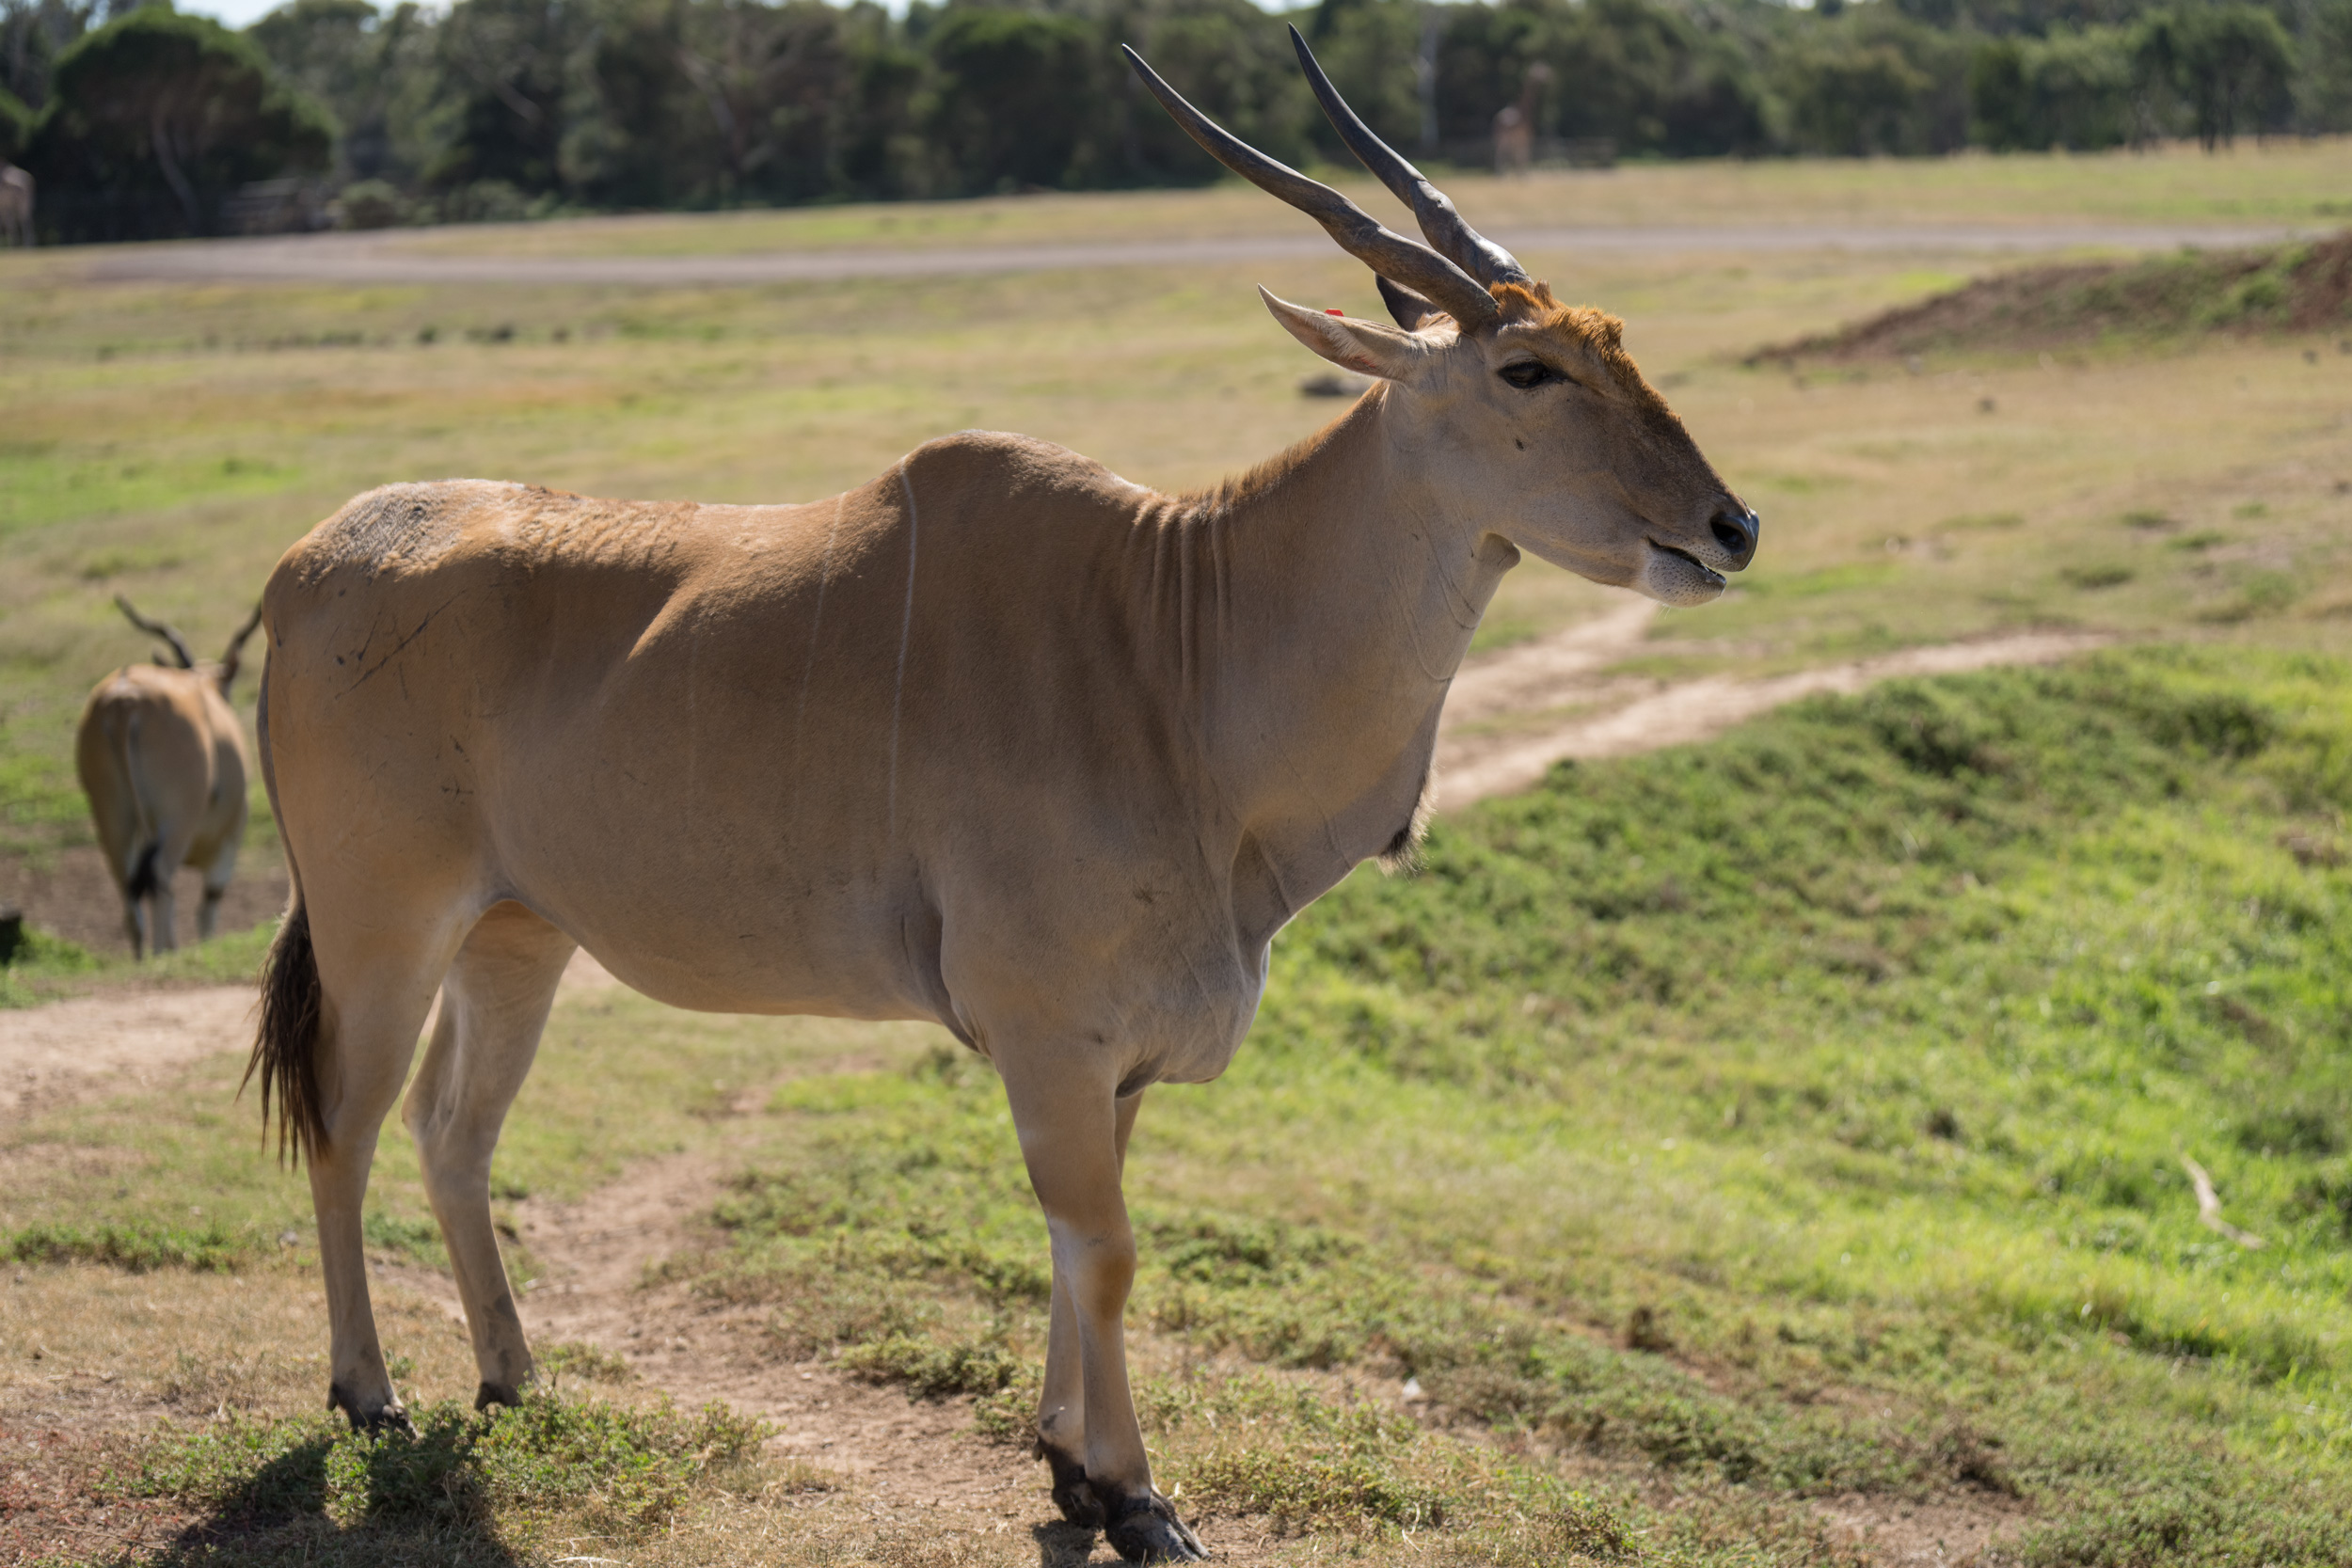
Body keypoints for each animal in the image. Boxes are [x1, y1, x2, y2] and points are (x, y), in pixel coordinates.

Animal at [78, 596, 264, 958]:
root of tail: (124, 704)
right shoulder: (230, 840)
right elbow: (207, 909)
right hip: (177, 821)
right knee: (160, 876)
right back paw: (163, 952)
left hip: (112, 816)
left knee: (129, 887)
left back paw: (143, 958)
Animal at [247, 30, 1759, 1560]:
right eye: (1528, 368)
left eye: (1614, 345)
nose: (1731, 525)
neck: (1178, 633)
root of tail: (307, 563)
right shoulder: (1051, 1038)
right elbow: (1106, 1251)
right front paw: (1137, 1493)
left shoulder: (1112, 1058)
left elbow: (1073, 1245)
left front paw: (1068, 1461)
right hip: (382, 930)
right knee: (346, 1122)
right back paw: (369, 1394)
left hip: (517, 936)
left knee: (452, 1130)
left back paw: (512, 1375)